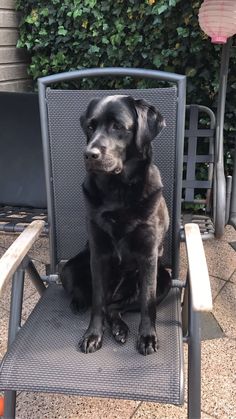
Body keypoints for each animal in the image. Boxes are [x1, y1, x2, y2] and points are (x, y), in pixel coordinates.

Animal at [61, 94, 171, 354]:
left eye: (118, 126)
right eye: (90, 127)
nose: (89, 154)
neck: (117, 191)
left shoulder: (149, 257)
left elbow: (147, 303)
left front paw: (147, 336)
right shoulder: (98, 254)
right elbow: (98, 301)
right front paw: (93, 335)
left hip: (165, 280)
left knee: (117, 306)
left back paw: (120, 329)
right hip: (67, 269)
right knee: (100, 301)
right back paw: (80, 304)